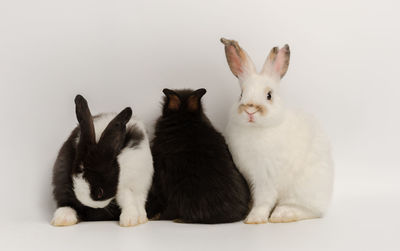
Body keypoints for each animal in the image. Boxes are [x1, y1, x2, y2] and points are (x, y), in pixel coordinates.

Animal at [51, 94, 153, 227]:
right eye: (74, 181)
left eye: (100, 192)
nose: (93, 206)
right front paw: (130, 220)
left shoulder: (135, 182)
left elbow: (128, 199)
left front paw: (130, 221)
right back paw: (62, 219)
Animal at [220, 38, 332, 225]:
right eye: (241, 94)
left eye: (269, 95)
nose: (250, 110)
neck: (256, 129)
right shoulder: (248, 175)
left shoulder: (265, 177)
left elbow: (263, 199)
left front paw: (254, 218)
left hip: (302, 189)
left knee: (308, 210)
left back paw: (282, 214)